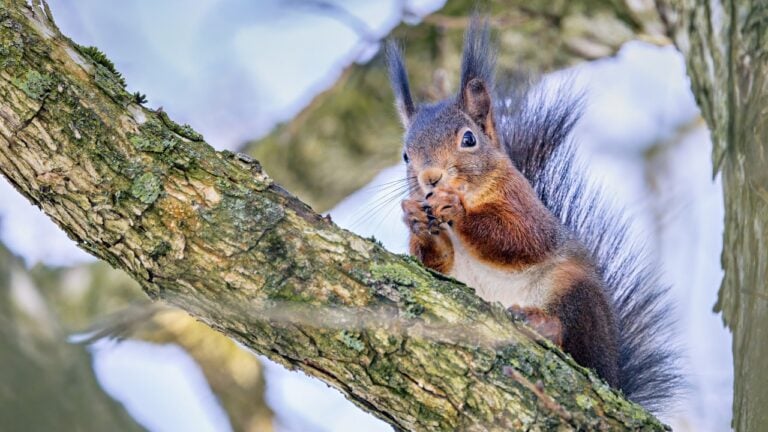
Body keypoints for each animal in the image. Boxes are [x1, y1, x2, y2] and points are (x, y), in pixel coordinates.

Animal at [386, 19, 681, 412]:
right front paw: (416, 219)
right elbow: (436, 263)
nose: (430, 179)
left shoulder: (526, 206)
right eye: (406, 155)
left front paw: (457, 209)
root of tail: (614, 376)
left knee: (577, 342)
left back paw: (542, 324)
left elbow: (522, 240)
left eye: (469, 139)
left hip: (576, 290)